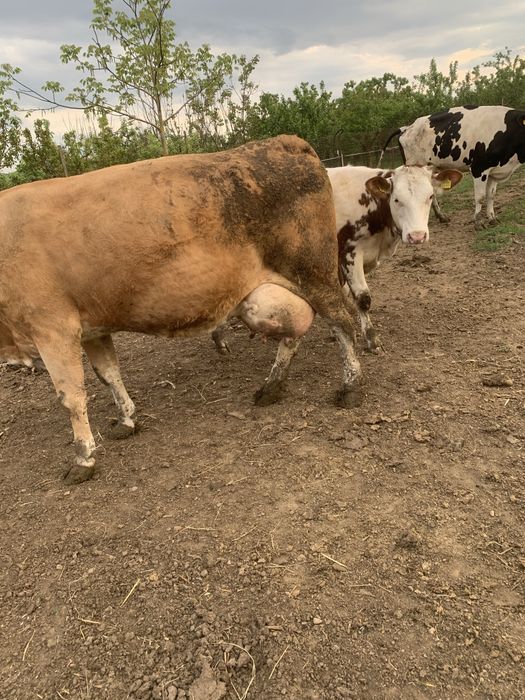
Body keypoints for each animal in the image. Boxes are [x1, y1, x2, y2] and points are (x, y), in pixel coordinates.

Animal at [0, 135, 363, 484]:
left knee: (342, 320)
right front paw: (127, 419)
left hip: (314, 271)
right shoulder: (93, 327)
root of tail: (283, 142)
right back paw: (272, 386)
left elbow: (71, 396)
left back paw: (350, 386)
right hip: (278, 290)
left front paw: (83, 459)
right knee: (295, 330)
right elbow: (109, 375)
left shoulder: (52, 327)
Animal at [212, 164, 462, 355]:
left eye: (430, 196)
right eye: (397, 199)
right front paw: (372, 340)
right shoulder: (349, 252)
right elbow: (362, 298)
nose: (417, 236)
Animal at [379, 105, 525, 227]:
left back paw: (441, 217)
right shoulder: (479, 168)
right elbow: (480, 197)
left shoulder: (494, 171)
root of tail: (407, 128)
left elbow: (491, 195)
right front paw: (478, 221)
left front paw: (492, 218)